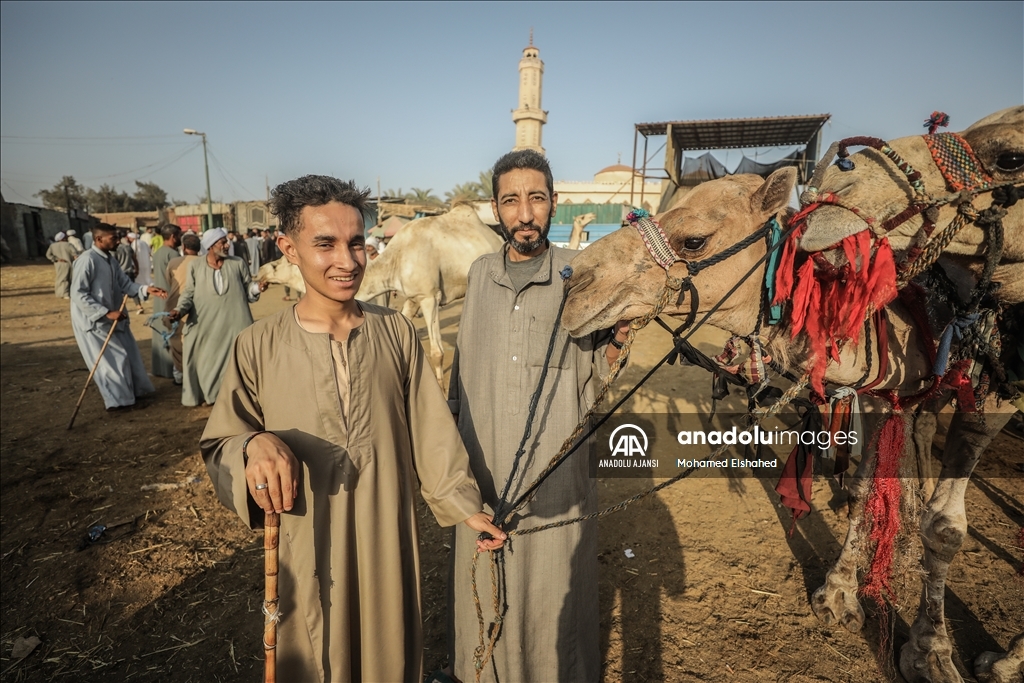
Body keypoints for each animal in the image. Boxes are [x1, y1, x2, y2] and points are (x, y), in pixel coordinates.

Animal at [565, 114, 1019, 679]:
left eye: (693, 240)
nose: (574, 282)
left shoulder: (994, 398)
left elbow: (947, 528)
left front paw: (930, 652)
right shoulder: (881, 387)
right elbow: (867, 486)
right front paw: (838, 595)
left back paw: (1004, 658)